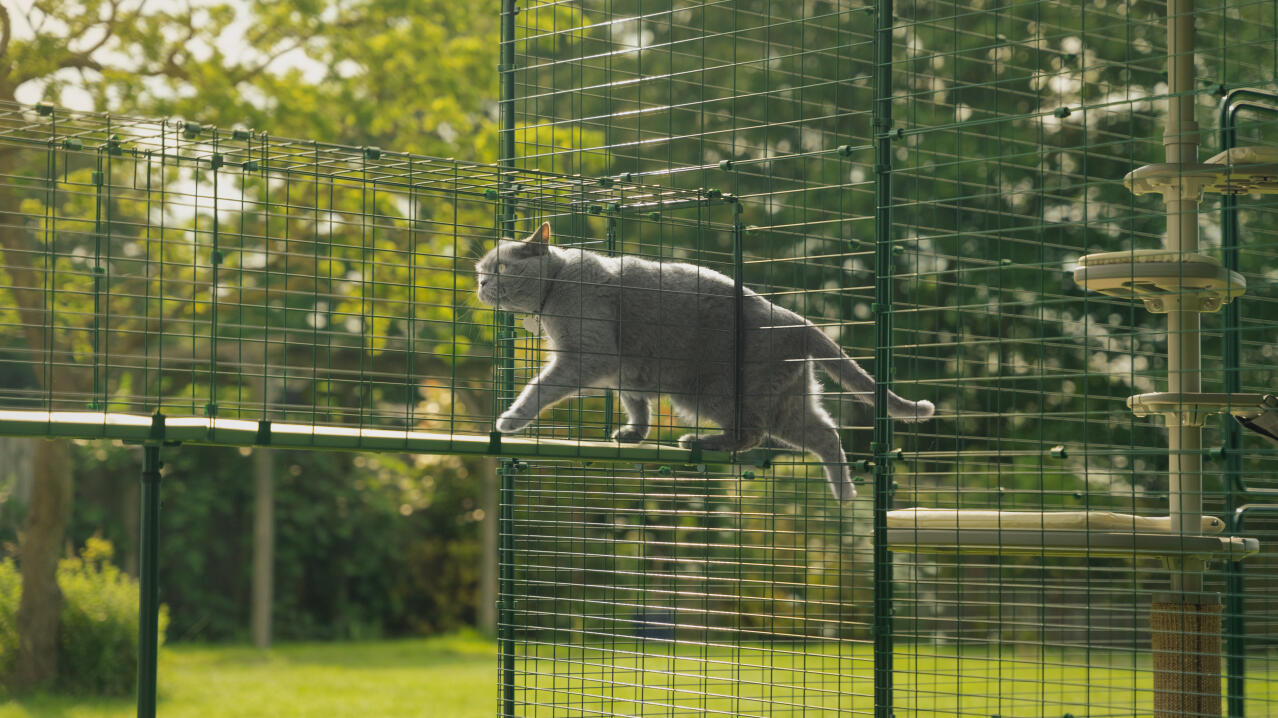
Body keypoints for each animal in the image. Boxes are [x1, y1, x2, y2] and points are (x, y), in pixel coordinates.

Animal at [475, 222, 935, 498]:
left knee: (751, 434)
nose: (479, 284)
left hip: (715, 394)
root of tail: (798, 319)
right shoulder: (626, 371)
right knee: (825, 434)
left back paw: (699, 441)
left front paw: (510, 420)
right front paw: (633, 434)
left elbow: (540, 387)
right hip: (786, 401)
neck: (557, 286)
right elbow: (636, 403)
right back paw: (844, 493)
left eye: (499, 269)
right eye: (482, 271)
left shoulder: (589, 355)